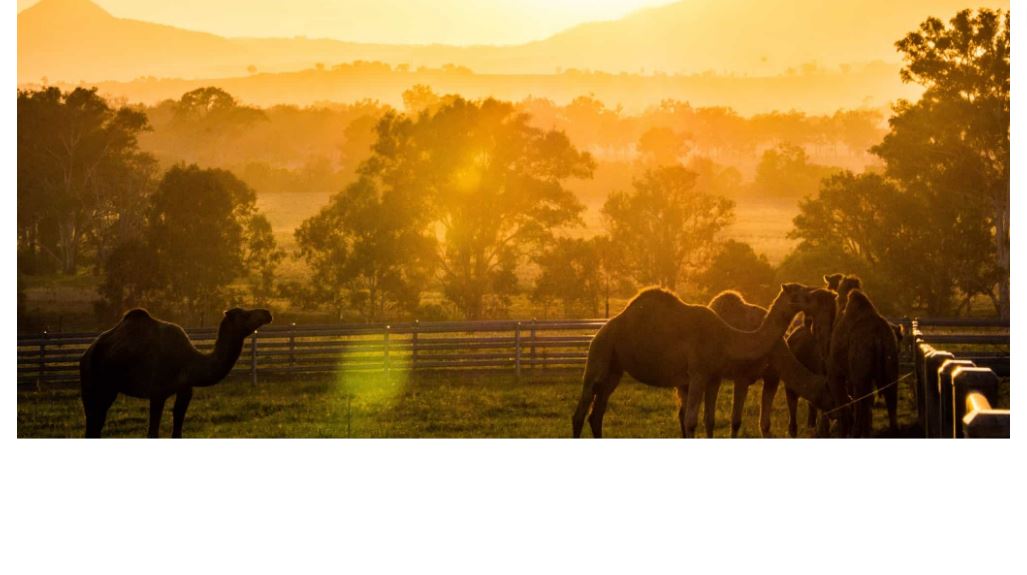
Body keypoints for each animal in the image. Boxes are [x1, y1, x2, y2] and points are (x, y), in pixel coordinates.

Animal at [79, 308, 273, 437]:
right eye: (245, 314)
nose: (267, 313)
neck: (188, 360)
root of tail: (87, 353)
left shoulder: (185, 390)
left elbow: (177, 430)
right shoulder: (157, 392)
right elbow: (153, 433)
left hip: (107, 388)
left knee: (96, 423)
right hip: (94, 383)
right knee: (93, 422)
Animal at [571, 283, 825, 439]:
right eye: (800, 294)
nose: (816, 296)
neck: (727, 337)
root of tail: (601, 330)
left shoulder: (713, 376)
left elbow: (708, 420)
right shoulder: (698, 374)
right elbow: (691, 421)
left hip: (614, 368)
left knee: (597, 412)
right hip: (599, 355)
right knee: (581, 411)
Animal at [710, 289, 838, 437]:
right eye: (830, 395)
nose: (836, 414)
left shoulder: (772, 377)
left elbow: (765, 424)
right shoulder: (742, 377)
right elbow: (735, 422)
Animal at [825, 289, 899, 437]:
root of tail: (877, 338)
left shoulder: (834, 372)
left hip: (860, 366)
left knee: (861, 399)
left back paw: (856, 433)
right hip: (891, 359)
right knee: (890, 396)